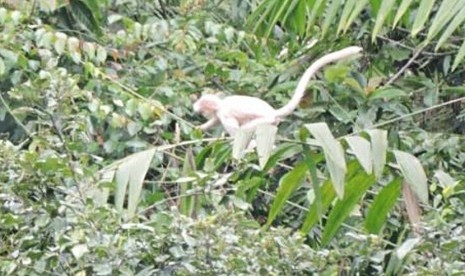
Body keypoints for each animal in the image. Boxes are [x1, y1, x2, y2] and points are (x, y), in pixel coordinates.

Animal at [193, 46, 362, 136]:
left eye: (202, 112)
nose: (202, 115)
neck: (220, 104)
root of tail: (272, 112)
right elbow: (213, 123)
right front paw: (198, 129)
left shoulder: (224, 114)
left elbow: (237, 133)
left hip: (267, 121)